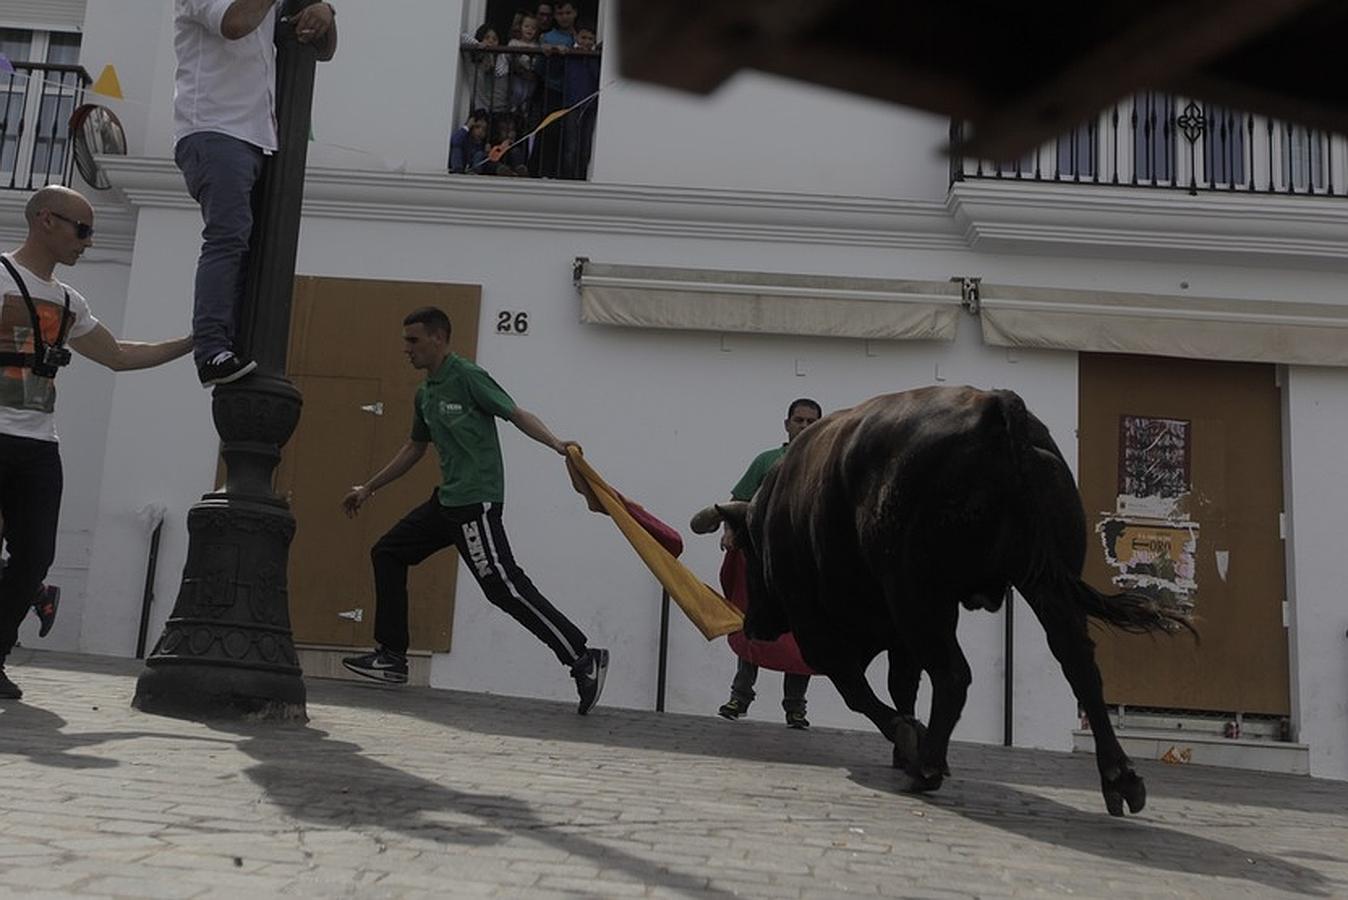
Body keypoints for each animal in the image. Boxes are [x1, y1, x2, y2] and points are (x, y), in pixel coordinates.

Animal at [695, 385, 1191, 813]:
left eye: (747, 551)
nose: (753, 624)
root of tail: (994, 406)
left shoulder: (820, 628)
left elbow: (858, 688)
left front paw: (907, 739)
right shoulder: (899, 631)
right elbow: (902, 685)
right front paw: (909, 742)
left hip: (918, 590)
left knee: (953, 674)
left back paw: (928, 767)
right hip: (1044, 584)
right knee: (1079, 666)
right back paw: (1120, 778)